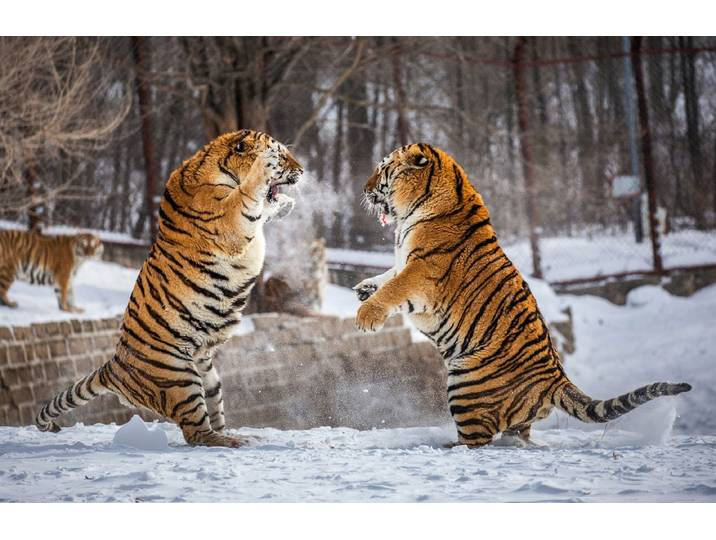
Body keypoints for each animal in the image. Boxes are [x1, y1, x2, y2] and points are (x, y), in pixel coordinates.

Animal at [35, 130, 303, 448]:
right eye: (282, 155)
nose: (302, 171)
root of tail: (114, 365)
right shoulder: (229, 221)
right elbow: (249, 196)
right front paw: (264, 168)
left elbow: (264, 206)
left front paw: (284, 204)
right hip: (180, 378)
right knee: (195, 433)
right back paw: (232, 441)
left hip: (208, 377)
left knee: (211, 416)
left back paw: (233, 433)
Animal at [354, 143, 691, 447]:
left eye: (383, 168)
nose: (364, 188)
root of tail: (555, 378)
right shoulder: (405, 262)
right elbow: (388, 275)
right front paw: (364, 288)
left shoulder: (422, 272)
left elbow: (395, 286)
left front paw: (366, 316)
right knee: (517, 436)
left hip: (466, 383)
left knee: (475, 441)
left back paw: (441, 445)